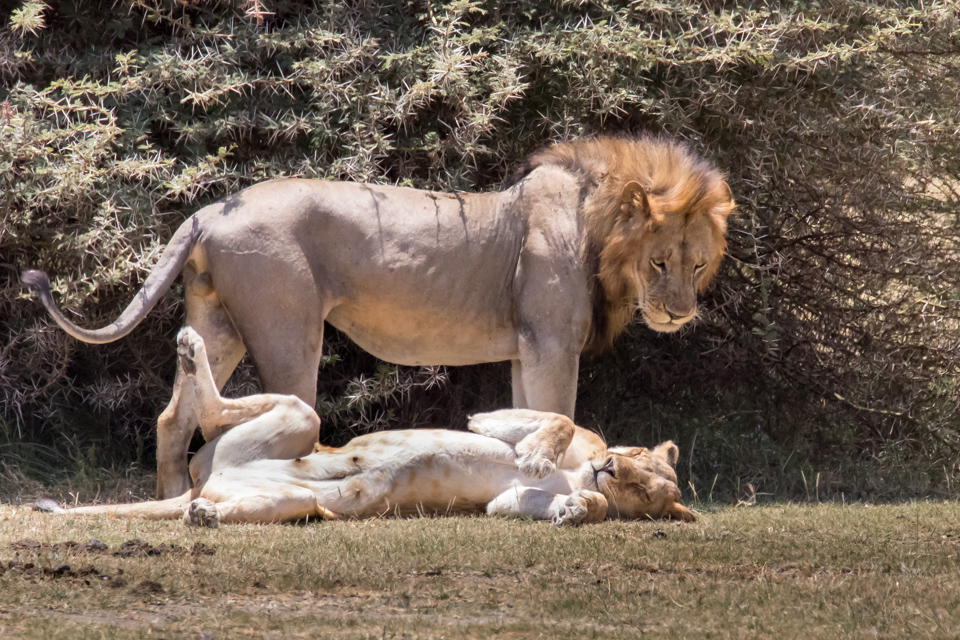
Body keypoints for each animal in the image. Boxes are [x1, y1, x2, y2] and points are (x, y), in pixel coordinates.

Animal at [22, 135, 734, 499]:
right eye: (660, 263)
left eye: (697, 264)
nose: (680, 315)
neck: (598, 227)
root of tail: (210, 208)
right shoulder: (551, 342)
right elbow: (561, 412)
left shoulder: (524, 349)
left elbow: (531, 410)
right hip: (288, 330)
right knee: (254, 415)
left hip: (217, 322)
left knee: (176, 415)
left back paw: (171, 498)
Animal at [34, 328, 695, 526]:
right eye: (636, 456)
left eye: (641, 486)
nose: (609, 467)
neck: (582, 469)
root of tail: (201, 483)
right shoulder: (495, 420)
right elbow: (555, 417)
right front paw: (538, 456)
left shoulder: (503, 505)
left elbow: (561, 506)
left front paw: (578, 508)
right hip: (299, 418)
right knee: (217, 408)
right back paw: (190, 346)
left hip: (296, 502)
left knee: (264, 500)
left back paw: (205, 516)